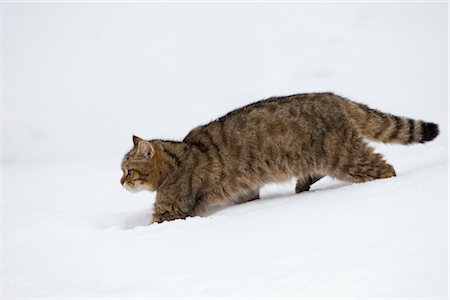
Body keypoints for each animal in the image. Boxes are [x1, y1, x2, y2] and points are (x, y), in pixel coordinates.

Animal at [119, 92, 440, 224]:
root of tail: (335, 97)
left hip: (345, 156)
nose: (120, 182)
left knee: (385, 167)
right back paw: (303, 184)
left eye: (129, 171)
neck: (180, 156)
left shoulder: (171, 209)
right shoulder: (245, 189)